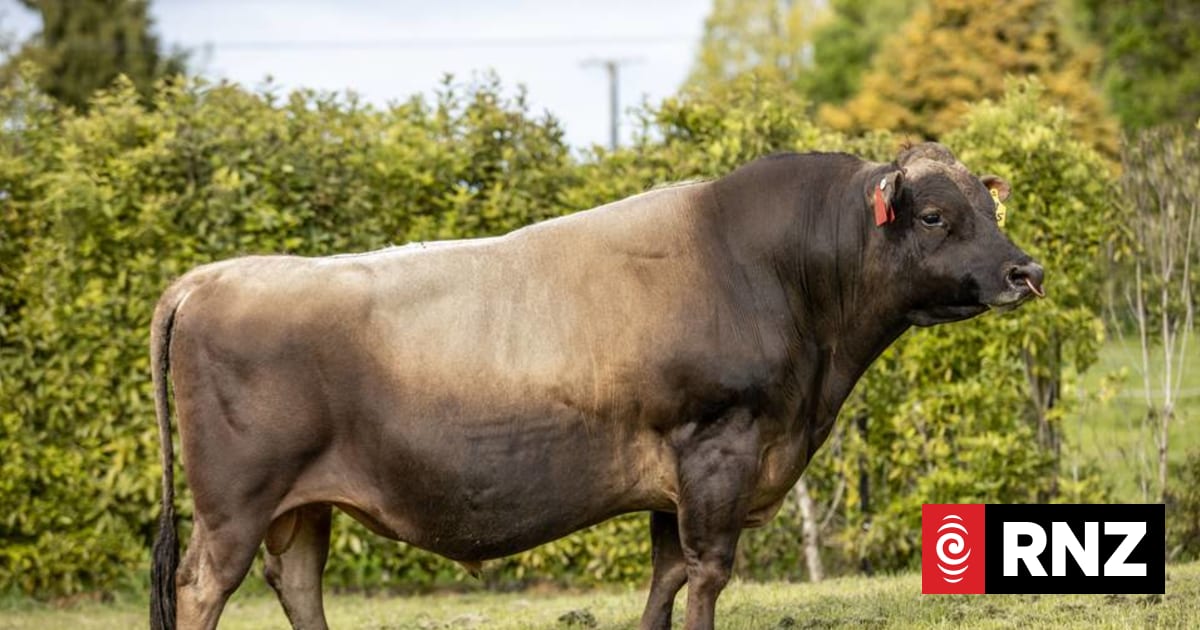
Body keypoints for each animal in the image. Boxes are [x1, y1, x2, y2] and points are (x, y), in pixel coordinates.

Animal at [149, 142, 1043, 630]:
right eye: (935, 215)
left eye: (990, 208)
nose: (1024, 270)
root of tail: (208, 277)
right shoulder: (719, 446)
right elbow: (706, 574)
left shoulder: (675, 477)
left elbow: (667, 578)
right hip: (235, 502)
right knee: (202, 587)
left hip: (302, 505)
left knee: (297, 583)